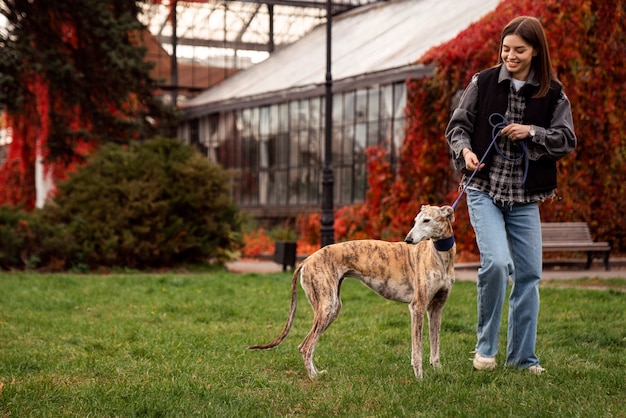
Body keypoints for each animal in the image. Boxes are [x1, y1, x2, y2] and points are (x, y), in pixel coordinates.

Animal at [247, 204, 454, 380]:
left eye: (426, 220)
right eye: (415, 220)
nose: (408, 240)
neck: (440, 256)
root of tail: (306, 259)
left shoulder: (437, 308)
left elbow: (435, 346)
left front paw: (439, 372)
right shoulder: (417, 307)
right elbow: (417, 350)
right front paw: (419, 379)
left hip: (331, 308)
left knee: (305, 345)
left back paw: (317, 373)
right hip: (326, 306)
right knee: (306, 346)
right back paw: (313, 378)